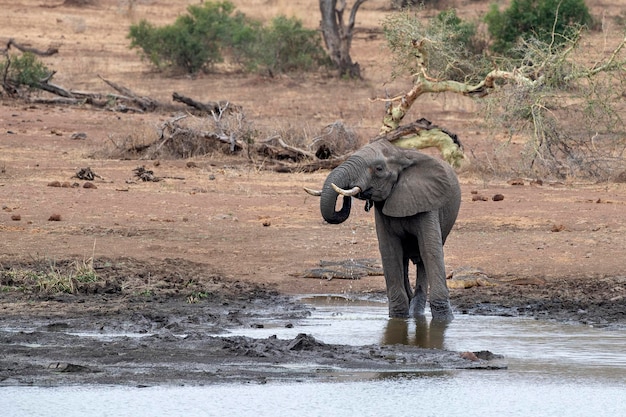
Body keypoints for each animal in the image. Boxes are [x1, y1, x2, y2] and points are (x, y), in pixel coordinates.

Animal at [306, 139, 458, 318]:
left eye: (379, 169)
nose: (351, 187)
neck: (400, 154)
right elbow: (390, 251)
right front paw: (398, 317)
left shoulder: (428, 201)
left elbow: (430, 250)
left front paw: (444, 319)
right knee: (404, 258)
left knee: (421, 259)